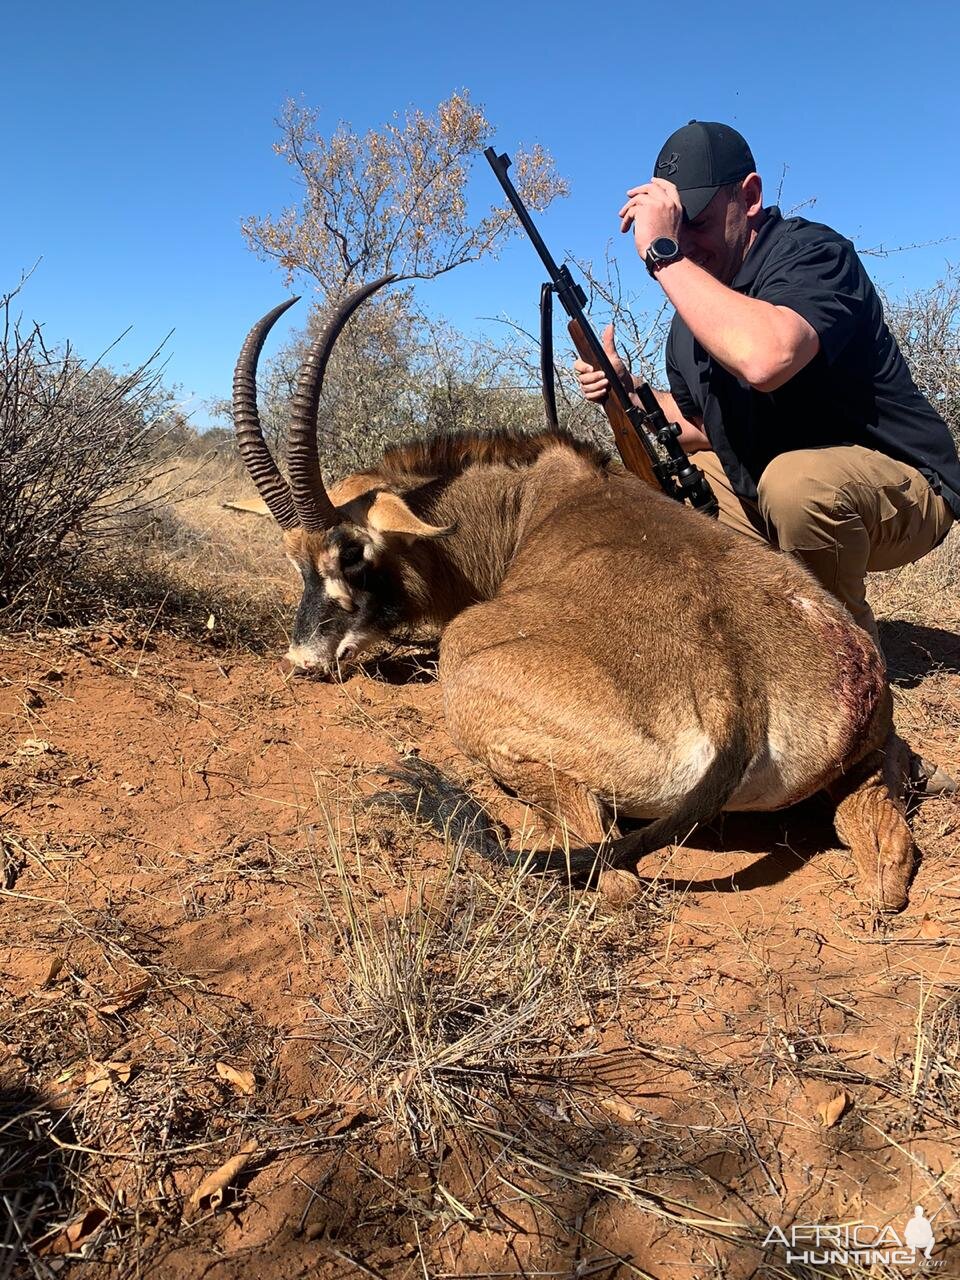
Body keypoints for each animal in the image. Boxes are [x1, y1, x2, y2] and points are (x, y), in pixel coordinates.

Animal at [231, 279, 916, 911]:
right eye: (294, 560)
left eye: (351, 553)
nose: (305, 661)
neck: (522, 502)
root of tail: (739, 695)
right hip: (864, 757)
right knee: (885, 848)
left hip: (474, 666)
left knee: (608, 871)